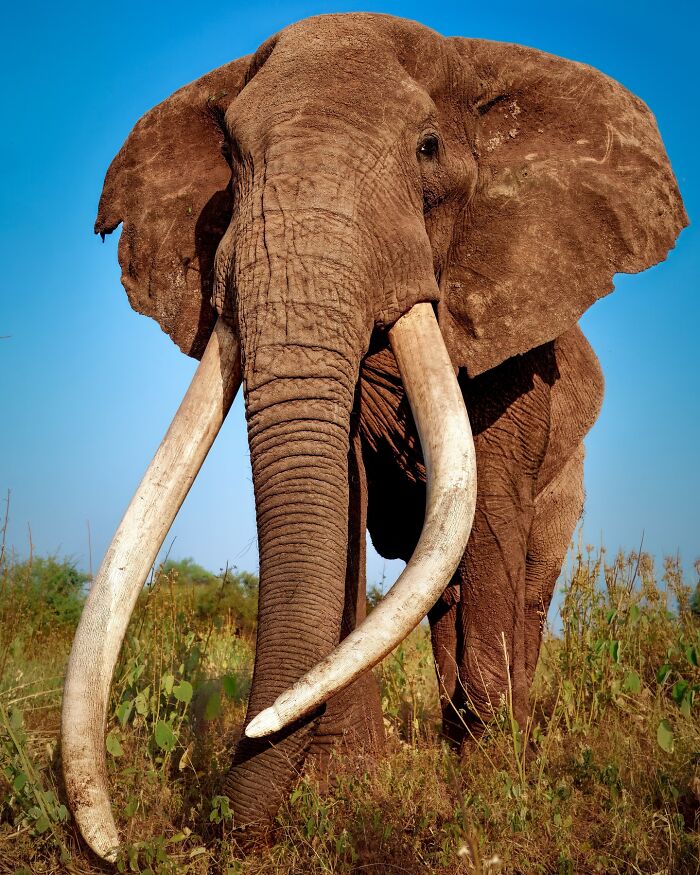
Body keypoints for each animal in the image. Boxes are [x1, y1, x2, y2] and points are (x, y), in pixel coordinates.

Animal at [61, 13, 686, 861]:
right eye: (231, 155)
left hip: (571, 476)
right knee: (445, 600)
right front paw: (345, 784)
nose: (218, 831)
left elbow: (491, 511)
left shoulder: (512, 340)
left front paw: (491, 788)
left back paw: (506, 744)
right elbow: (346, 497)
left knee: (524, 583)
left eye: (427, 147)